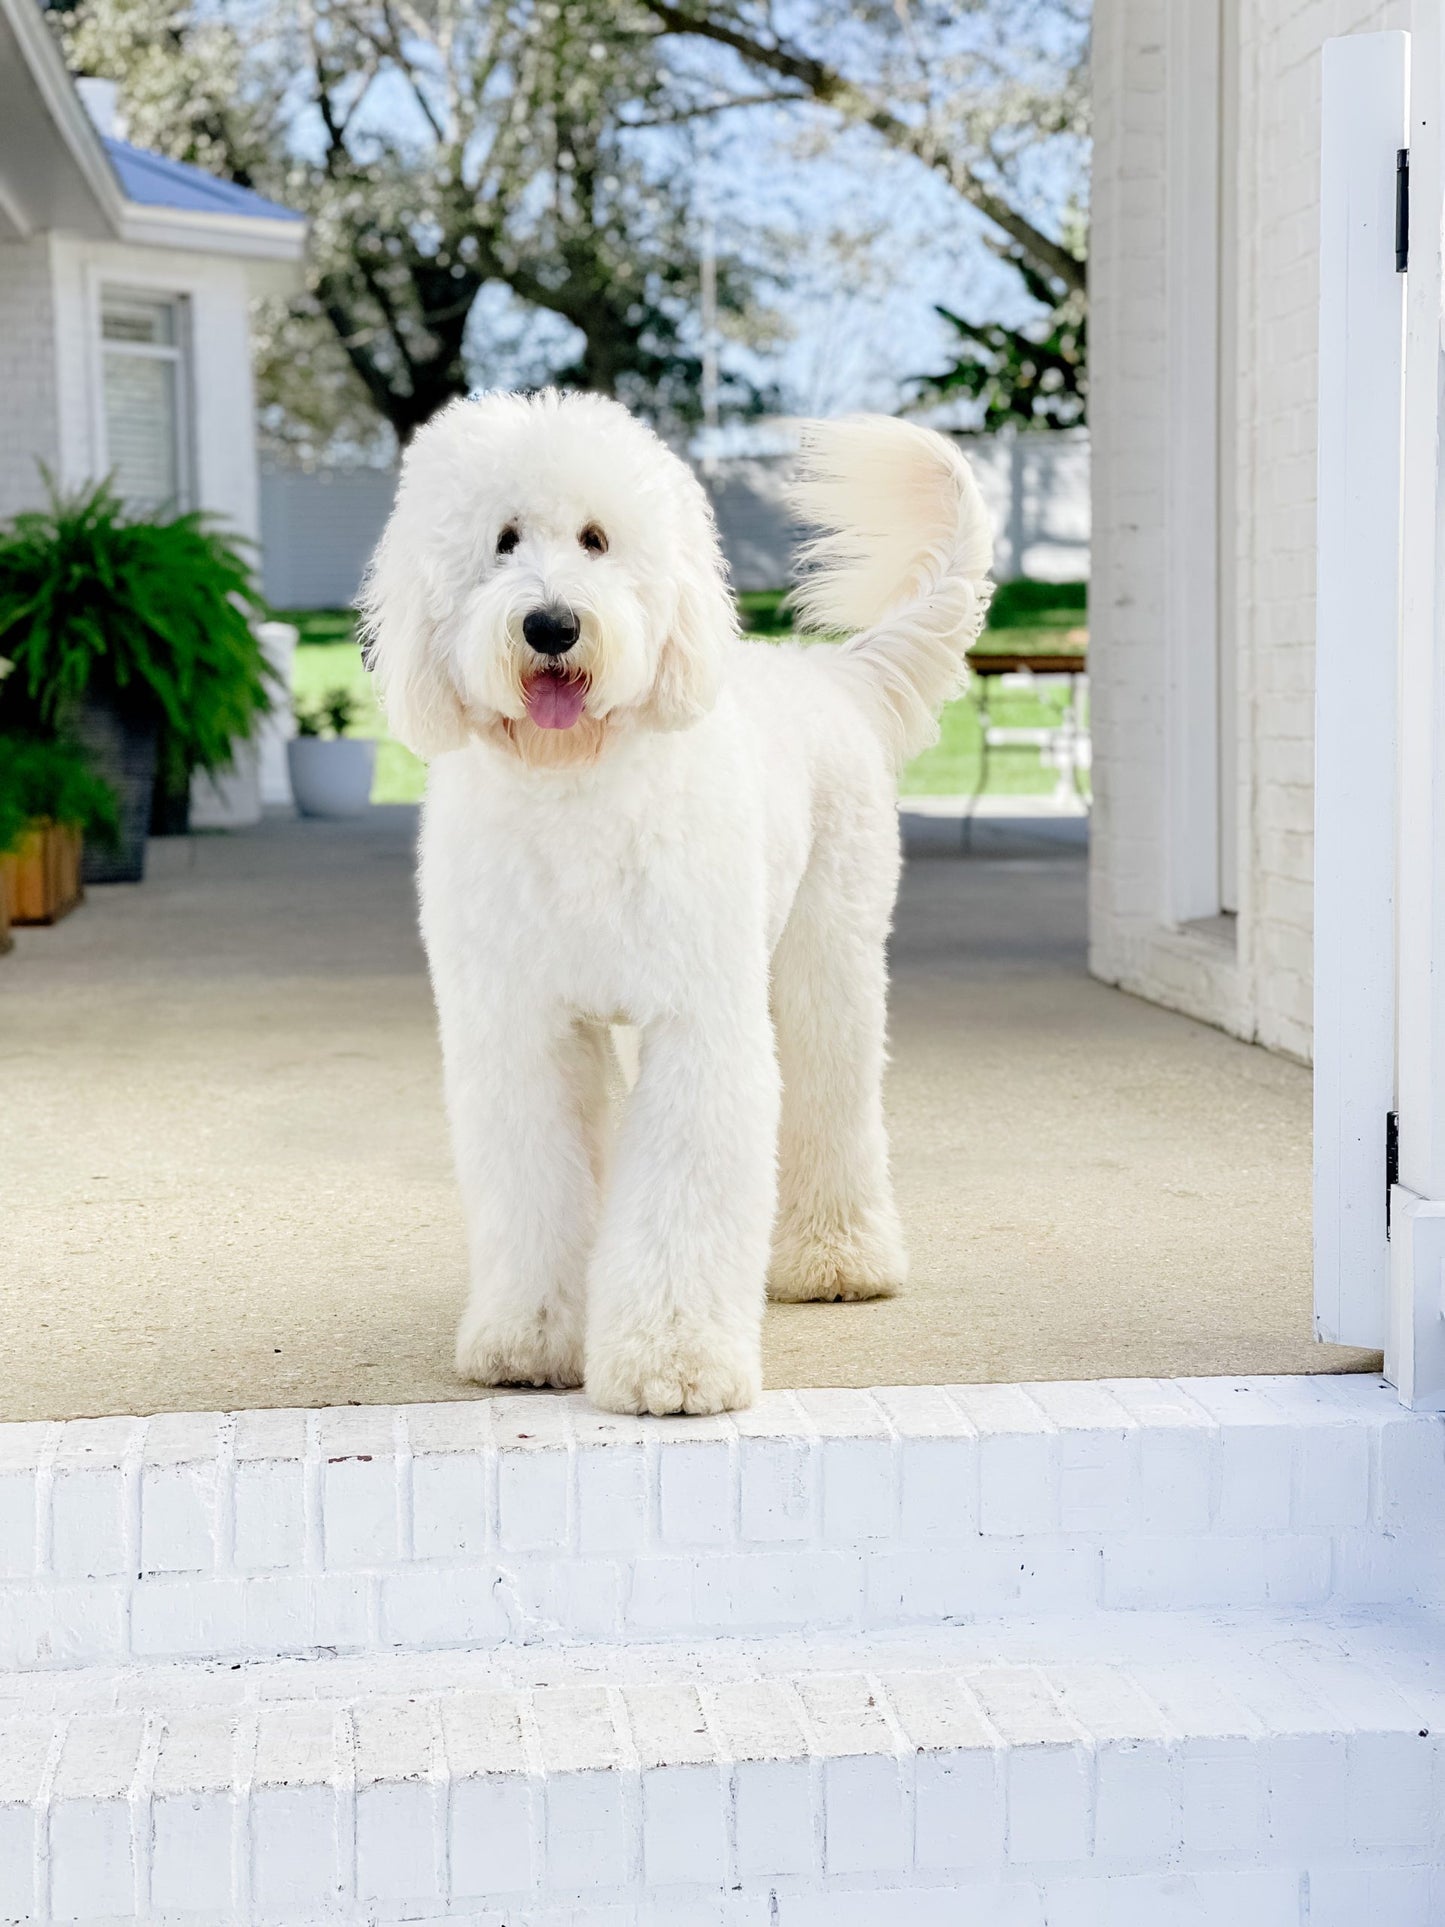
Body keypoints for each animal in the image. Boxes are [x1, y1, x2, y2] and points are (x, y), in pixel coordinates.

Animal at [362, 391, 994, 1418]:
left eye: (596, 539)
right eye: (503, 540)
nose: (551, 624)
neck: (576, 787)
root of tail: (830, 675)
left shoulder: (696, 1022)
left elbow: (684, 1187)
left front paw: (672, 1360)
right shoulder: (524, 1029)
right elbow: (536, 1184)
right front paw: (529, 1338)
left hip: (823, 959)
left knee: (832, 1095)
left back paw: (837, 1258)